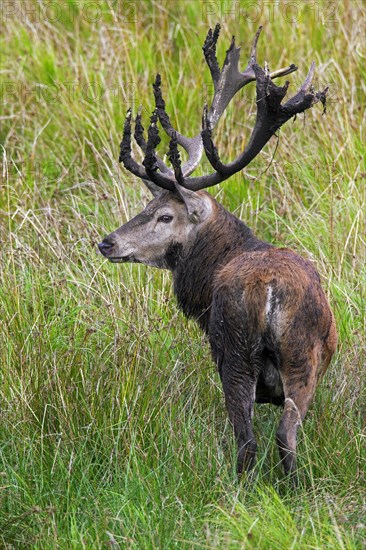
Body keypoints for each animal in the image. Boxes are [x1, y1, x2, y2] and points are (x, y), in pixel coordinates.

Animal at [98, 24, 338, 488]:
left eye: (165, 215)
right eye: (147, 205)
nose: (107, 242)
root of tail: (270, 291)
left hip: (236, 352)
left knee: (250, 440)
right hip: (299, 358)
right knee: (284, 434)